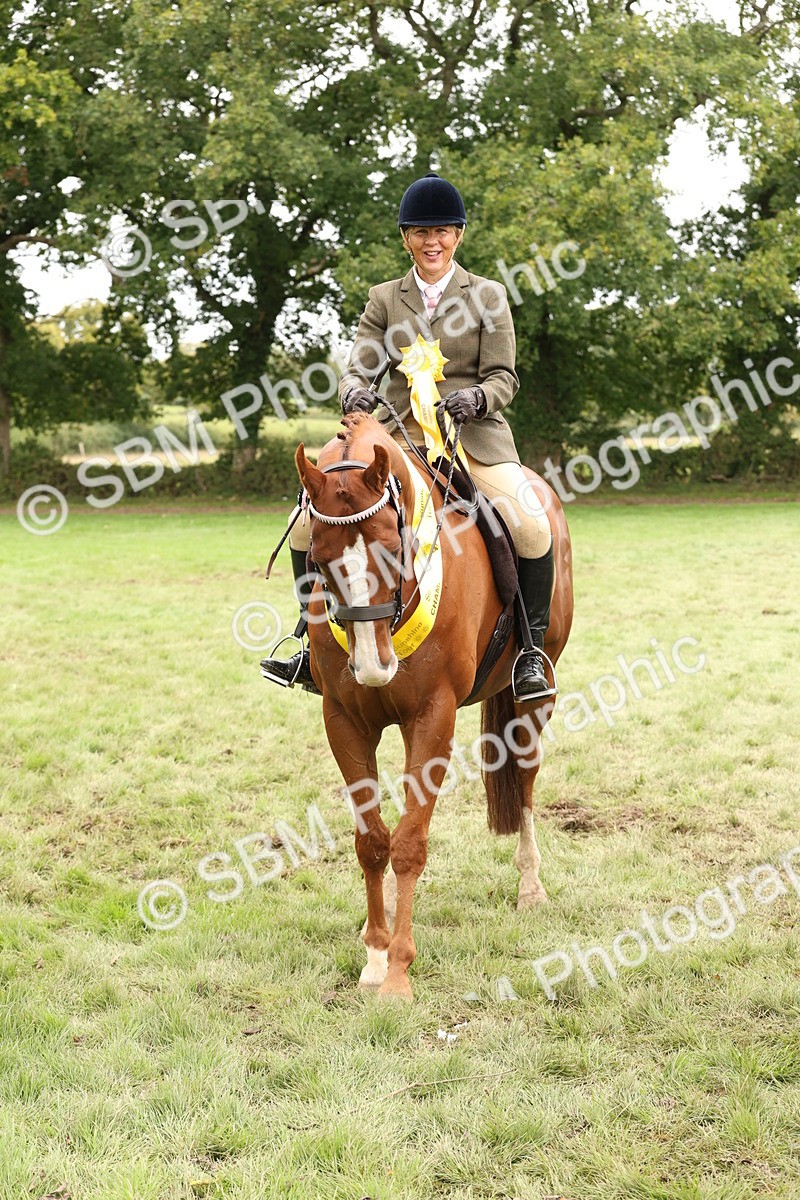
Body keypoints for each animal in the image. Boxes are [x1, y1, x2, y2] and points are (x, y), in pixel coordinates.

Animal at [294, 412, 573, 1001]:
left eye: (391, 549)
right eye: (319, 563)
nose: (374, 668)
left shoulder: (433, 718)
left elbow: (409, 844)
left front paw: (399, 971)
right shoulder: (344, 720)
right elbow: (373, 841)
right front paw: (375, 957)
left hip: (535, 699)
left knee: (526, 780)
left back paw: (531, 887)